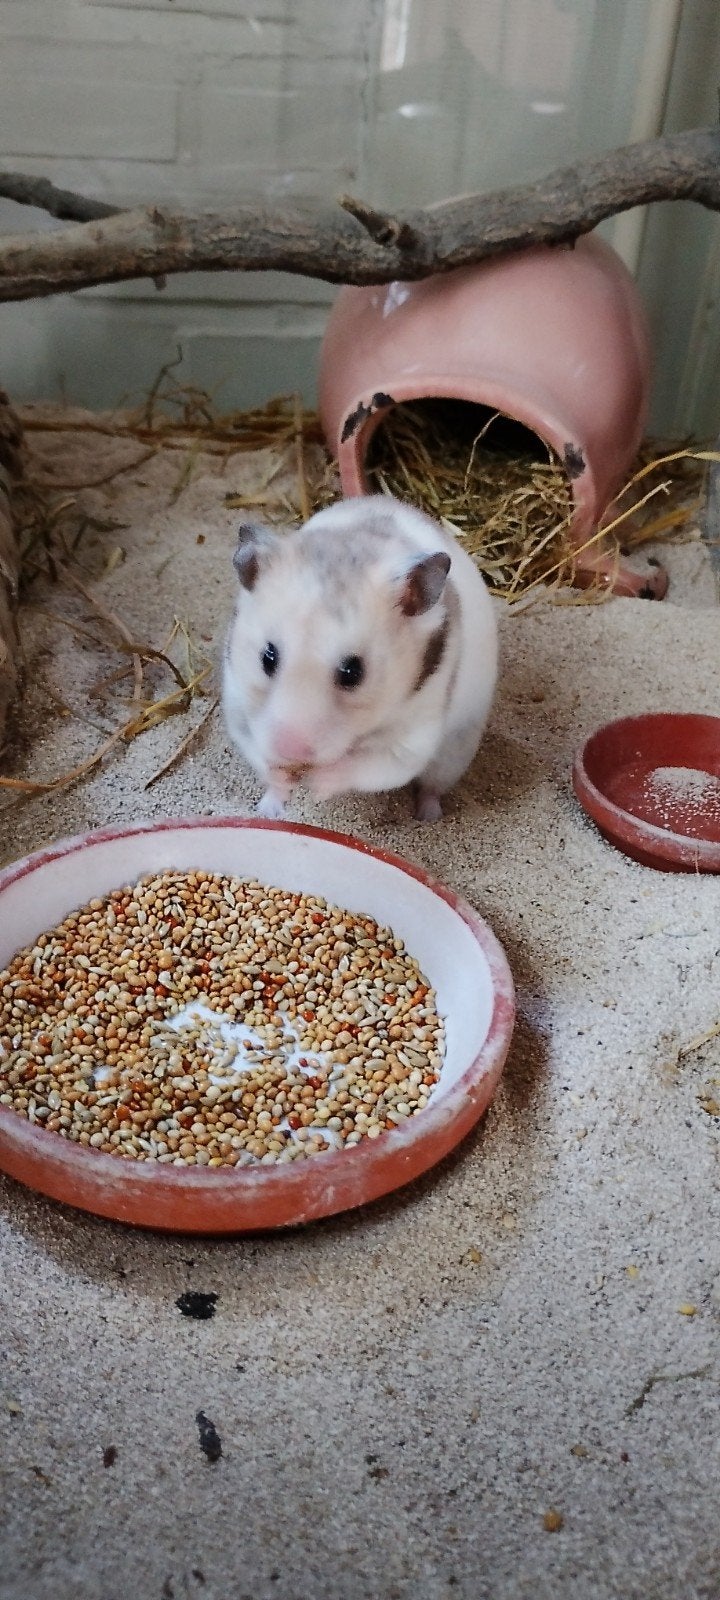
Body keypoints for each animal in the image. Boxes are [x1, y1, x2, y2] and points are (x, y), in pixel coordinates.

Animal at [222, 494, 497, 821]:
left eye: (353, 673)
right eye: (268, 658)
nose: (291, 751)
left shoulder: (411, 740)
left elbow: (367, 766)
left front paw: (317, 785)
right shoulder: (237, 704)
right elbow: (256, 750)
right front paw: (283, 778)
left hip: (455, 752)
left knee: (432, 787)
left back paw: (427, 817)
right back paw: (268, 810)